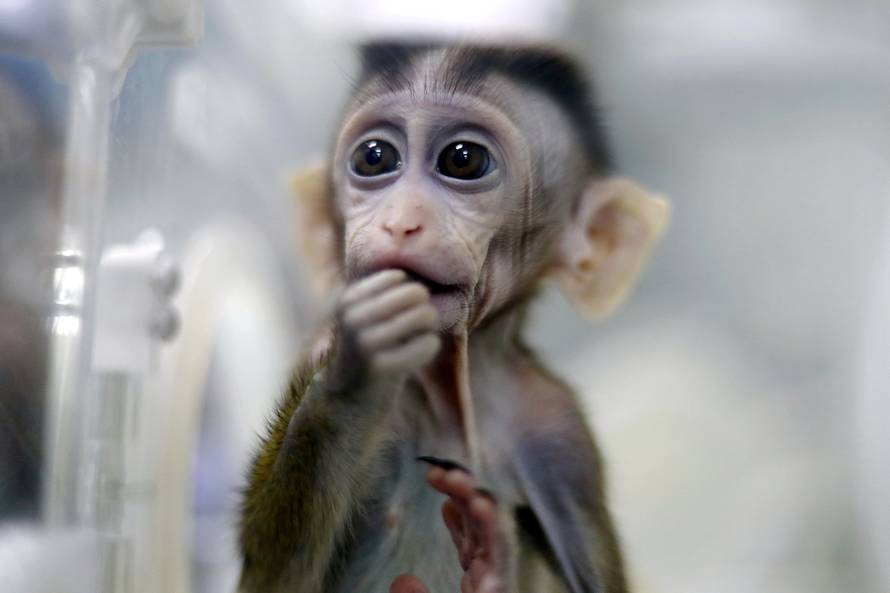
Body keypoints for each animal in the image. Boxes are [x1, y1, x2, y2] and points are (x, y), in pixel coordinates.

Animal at [237, 43, 668, 593]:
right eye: (374, 157)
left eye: (463, 160)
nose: (401, 221)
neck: (450, 401)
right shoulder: (312, 348)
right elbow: (276, 580)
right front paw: (353, 377)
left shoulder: (562, 435)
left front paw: (493, 556)